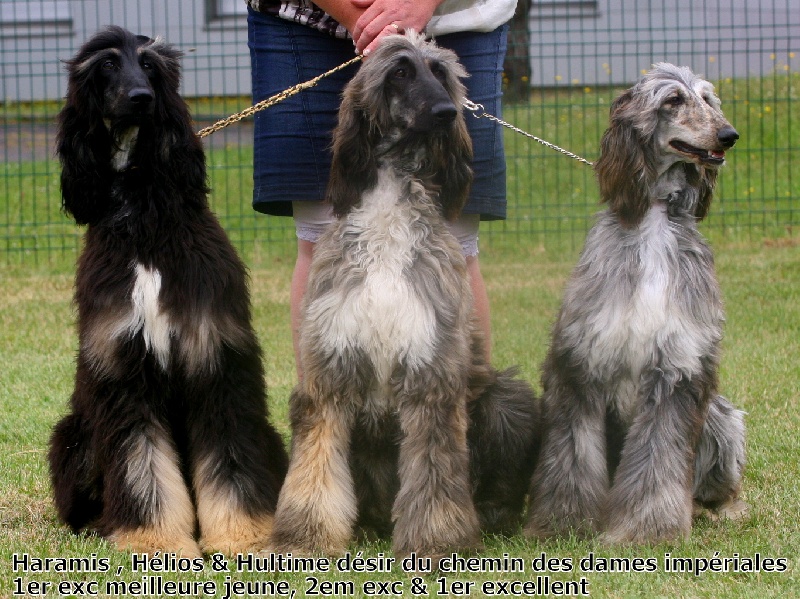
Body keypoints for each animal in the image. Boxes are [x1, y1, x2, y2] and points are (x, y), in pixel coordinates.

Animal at [48, 25, 290, 556]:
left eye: (150, 66)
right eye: (107, 65)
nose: (141, 98)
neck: (144, 221)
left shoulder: (214, 353)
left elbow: (229, 456)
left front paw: (242, 535)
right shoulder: (123, 364)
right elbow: (141, 462)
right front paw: (154, 538)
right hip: (74, 437)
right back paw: (98, 524)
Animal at [268, 31, 536, 556]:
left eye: (442, 73)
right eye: (400, 72)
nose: (447, 114)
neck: (389, 216)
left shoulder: (431, 370)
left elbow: (434, 471)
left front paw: (436, 541)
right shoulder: (329, 370)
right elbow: (315, 467)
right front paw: (305, 537)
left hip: (503, 399)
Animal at [528, 62, 748, 544]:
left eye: (709, 99)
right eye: (673, 100)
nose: (728, 135)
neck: (653, 220)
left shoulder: (676, 368)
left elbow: (657, 459)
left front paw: (648, 528)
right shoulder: (582, 364)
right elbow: (572, 456)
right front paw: (564, 523)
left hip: (721, 418)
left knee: (717, 483)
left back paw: (722, 509)